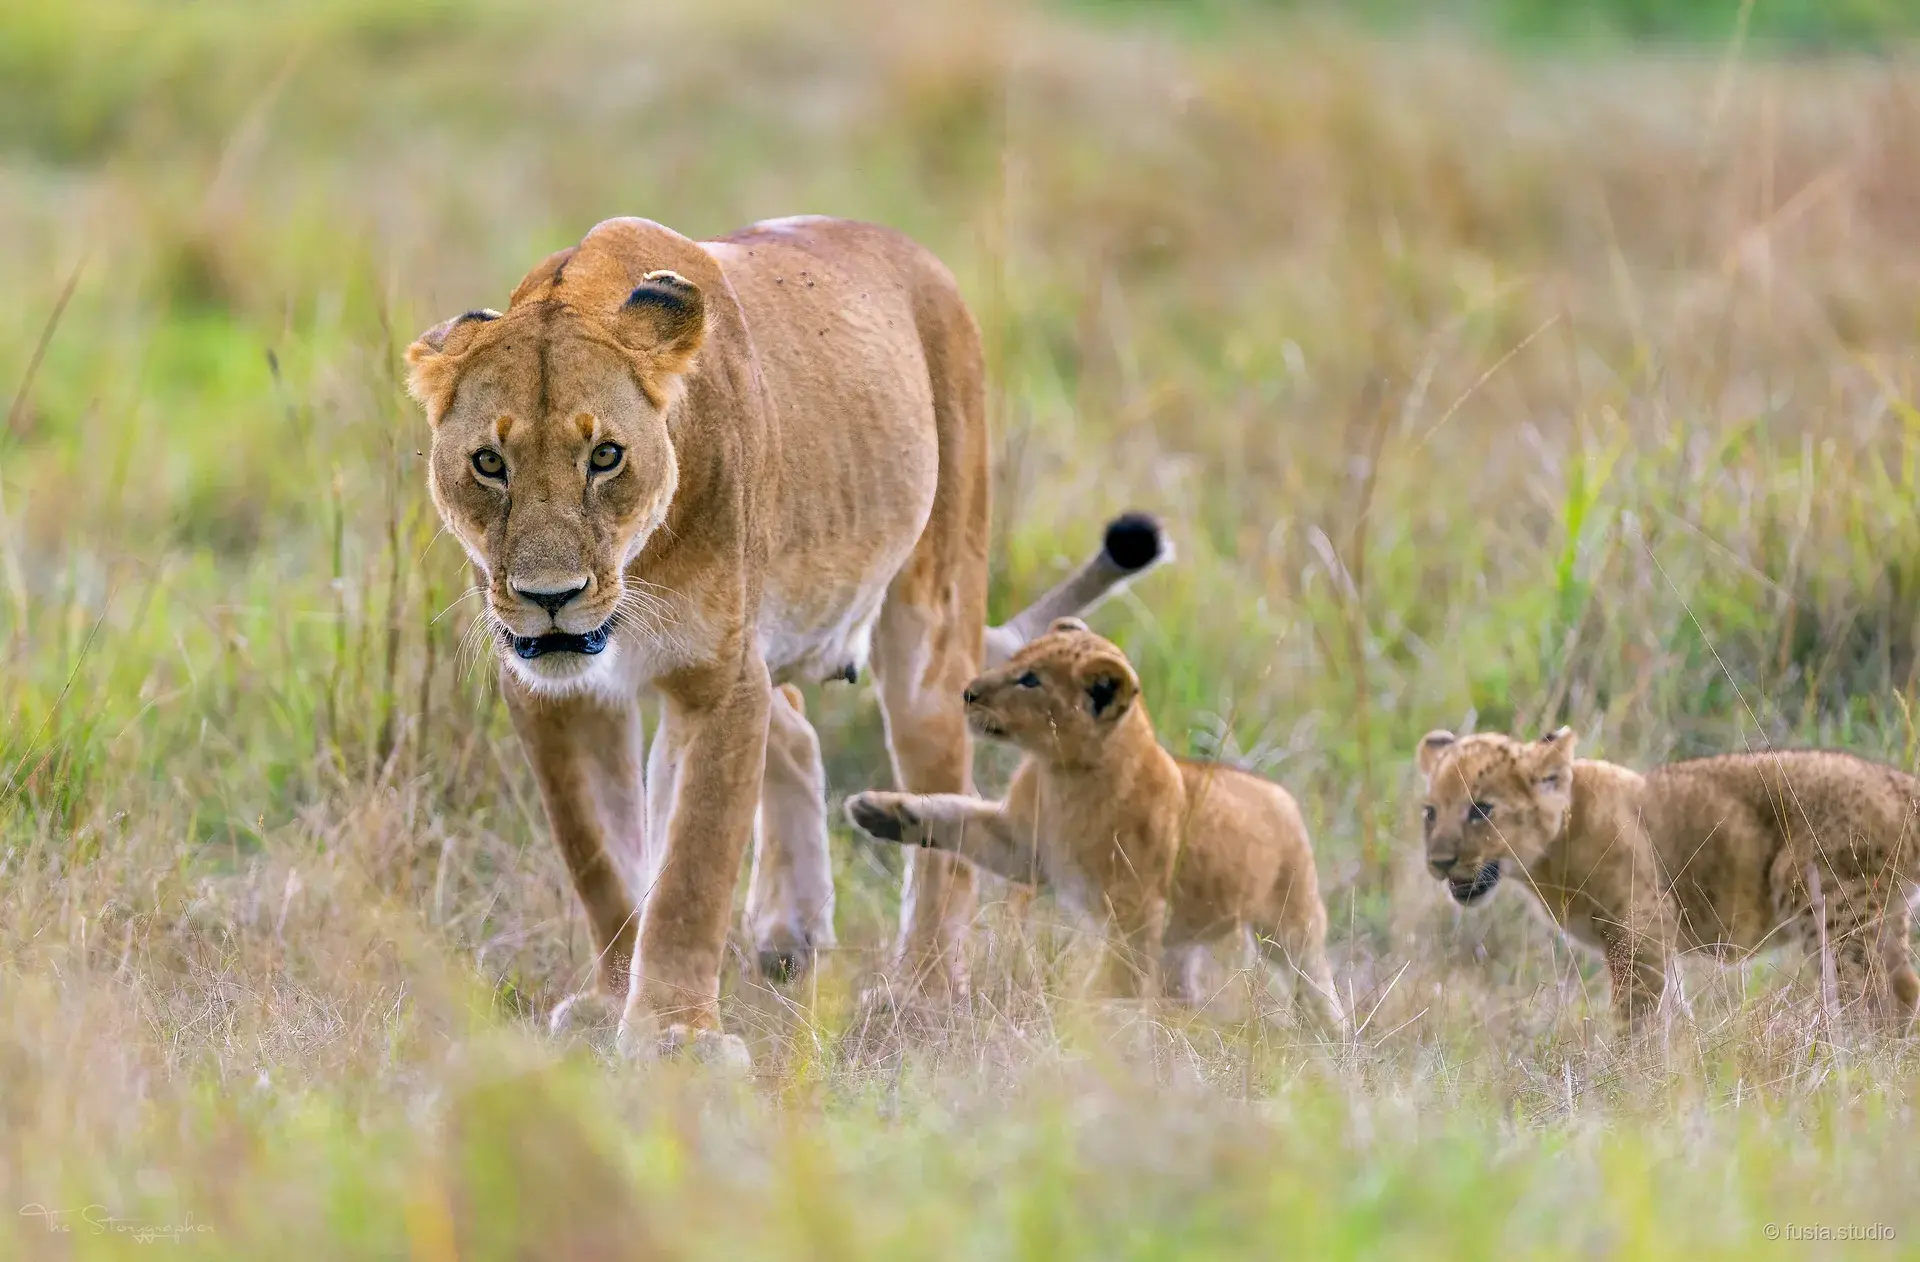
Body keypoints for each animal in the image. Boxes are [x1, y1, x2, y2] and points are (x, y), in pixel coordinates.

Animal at [406, 215, 1165, 1065]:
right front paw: (612, 1004)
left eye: (605, 456)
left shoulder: (718, 681)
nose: (551, 599)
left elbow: (692, 867)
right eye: (488, 463)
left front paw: (676, 1035)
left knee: (944, 795)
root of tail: (910, 252)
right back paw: (789, 932)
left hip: (933, 620)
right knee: (793, 724)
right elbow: (599, 855)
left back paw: (925, 993)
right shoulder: (553, 696)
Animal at [844, 619, 1344, 1028]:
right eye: (1016, 661)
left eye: (1031, 680)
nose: (968, 692)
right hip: (1179, 937)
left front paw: (1087, 1020)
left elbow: (1116, 975)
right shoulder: (1020, 846)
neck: (1061, 776)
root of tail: (1279, 793)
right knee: (1181, 982)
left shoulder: (1135, 905)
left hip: (1290, 919)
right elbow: (952, 814)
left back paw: (1331, 1034)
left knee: (1312, 974)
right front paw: (879, 810)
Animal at [1415, 728, 1920, 1031]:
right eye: (1431, 812)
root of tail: (1899, 783)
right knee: (1904, 990)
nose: (1439, 862)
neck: (1547, 857)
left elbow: (1634, 1019)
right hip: (1882, 914)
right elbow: (1672, 1013)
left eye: (1481, 810)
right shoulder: (1654, 941)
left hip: (1832, 906)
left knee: (1869, 996)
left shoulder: (1640, 931)